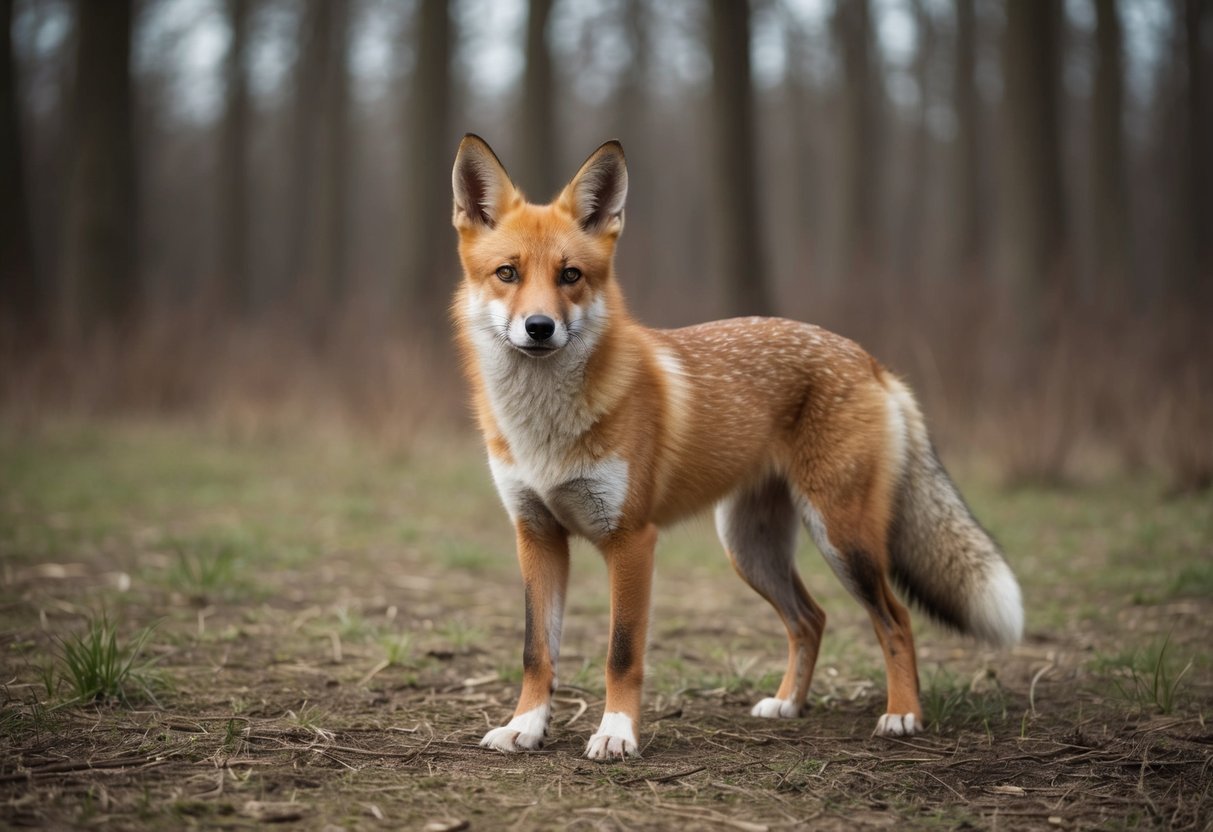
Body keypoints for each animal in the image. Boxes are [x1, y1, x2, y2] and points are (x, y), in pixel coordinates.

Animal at [450, 134, 1023, 761]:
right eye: (507, 273)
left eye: (570, 275)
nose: (539, 327)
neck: (544, 434)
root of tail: (869, 359)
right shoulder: (536, 533)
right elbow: (536, 650)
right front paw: (525, 726)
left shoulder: (631, 540)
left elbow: (621, 653)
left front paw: (617, 733)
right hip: (751, 549)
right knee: (811, 619)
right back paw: (789, 704)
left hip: (842, 538)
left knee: (894, 618)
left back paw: (903, 714)